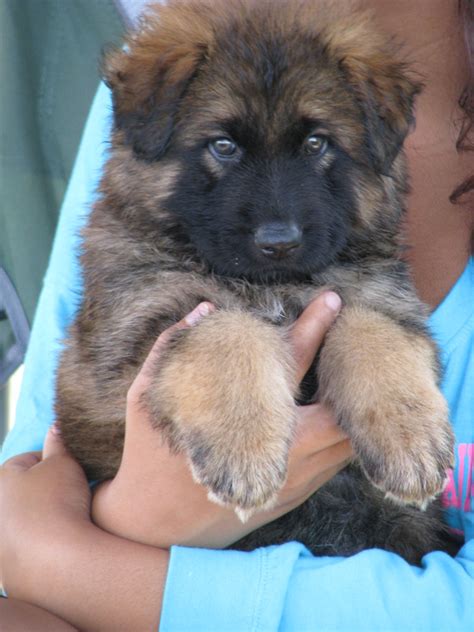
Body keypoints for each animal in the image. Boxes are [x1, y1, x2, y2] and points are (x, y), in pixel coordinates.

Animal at [56, 0, 456, 564]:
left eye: (316, 143)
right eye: (224, 146)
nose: (278, 241)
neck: (273, 284)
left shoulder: (378, 291)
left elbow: (371, 326)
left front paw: (408, 434)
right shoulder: (126, 350)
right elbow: (226, 329)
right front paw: (242, 446)